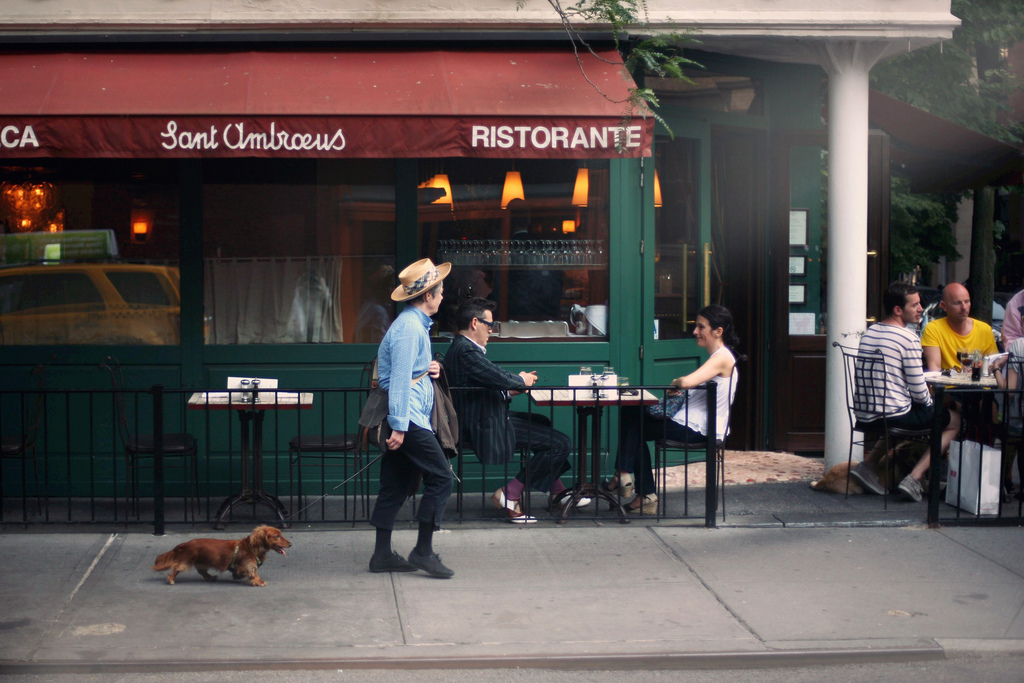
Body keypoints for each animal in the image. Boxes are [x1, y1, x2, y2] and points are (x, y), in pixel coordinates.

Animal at [152, 525, 291, 587]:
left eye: (281, 534)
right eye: (277, 536)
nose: (290, 544)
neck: (252, 547)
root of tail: (187, 543)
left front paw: (238, 576)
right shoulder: (249, 564)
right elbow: (253, 573)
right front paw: (259, 582)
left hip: (202, 561)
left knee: (201, 571)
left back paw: (210, 577)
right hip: (186, 561)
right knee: (176, 568)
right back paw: (171, 579)